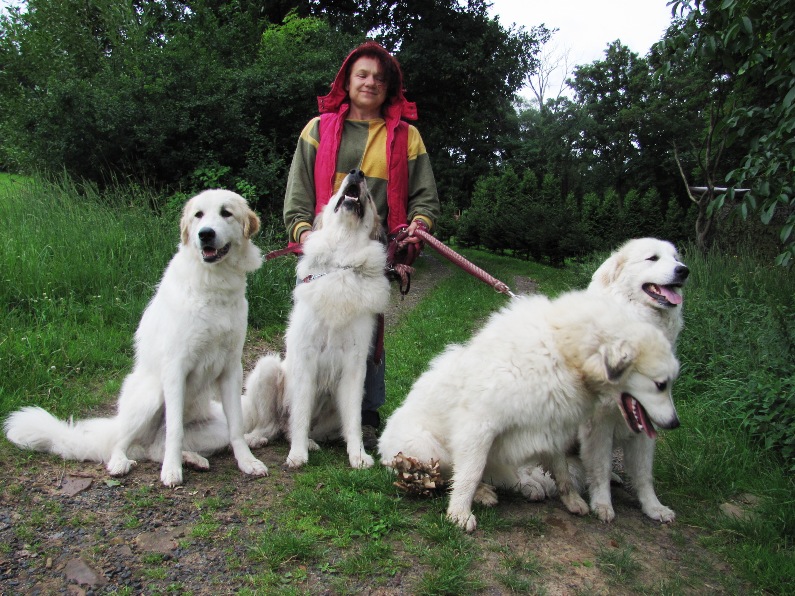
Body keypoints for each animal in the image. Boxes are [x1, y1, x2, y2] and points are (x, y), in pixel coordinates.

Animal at [1, 191, 270, 488]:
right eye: (198, 215)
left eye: (226, 213)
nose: (205, 234)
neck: (214, 284)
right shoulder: (175, 369)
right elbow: (175, 430)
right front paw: (171, 471)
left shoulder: (231, 369)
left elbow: (236, 427)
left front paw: (247, 462)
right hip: (151, 394)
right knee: (126, 442)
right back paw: (123, 463)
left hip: (210, 425)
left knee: (156, 447)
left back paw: (196, 458)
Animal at [244, 169, 390, 470]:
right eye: (336, 192)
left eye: (369, 198)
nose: (357, 173)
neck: (342, 264)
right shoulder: (305, 359)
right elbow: (299, 414)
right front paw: (298, 455)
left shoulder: (355, 366)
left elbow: (354, 423)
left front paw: (358, 456)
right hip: (267, 369)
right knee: (274, 425)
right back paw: (257, 439)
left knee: (290, 428)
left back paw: (312, 442)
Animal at [378, 288, 676, 532]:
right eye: (660, 384)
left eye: (669, 383)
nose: (674, 423)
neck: (562, 350)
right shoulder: (479, 426)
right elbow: (470, 473)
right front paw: (459, 513)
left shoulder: (550, 425)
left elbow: (562, 472)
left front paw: (573, 501)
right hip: (429, 448)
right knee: (446, 475)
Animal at [580, 237, 692, 520]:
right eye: (653, 258)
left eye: (676, 258)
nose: (683, 271)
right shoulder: (599, 421)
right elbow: (599, 466)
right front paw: (602, 504)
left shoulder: (647, 415)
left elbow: (643, 474)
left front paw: (654, 507)